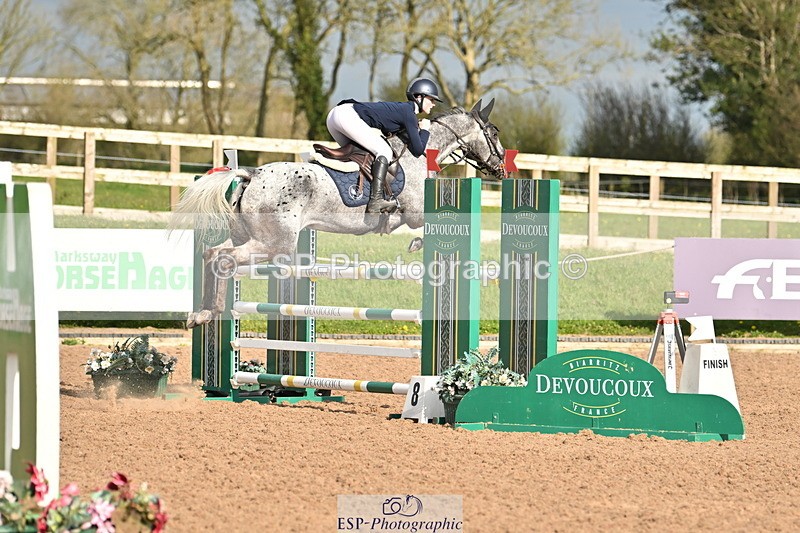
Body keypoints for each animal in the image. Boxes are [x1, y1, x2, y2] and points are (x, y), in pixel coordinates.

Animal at [174, 98, 507, 328]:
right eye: (493, 132)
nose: (502, 168)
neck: (422, 152)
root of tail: (250, 176)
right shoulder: (414, 212)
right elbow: (424, 227)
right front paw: (416, 244)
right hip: (275, 244)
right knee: (223, 259)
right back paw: (211, 311)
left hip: (247, 236)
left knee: (213, 253)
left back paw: (201, 313)